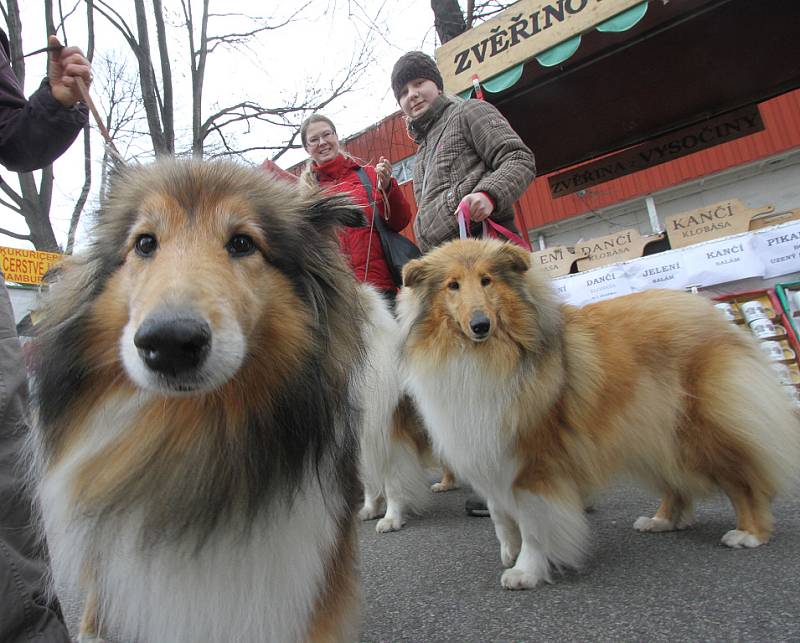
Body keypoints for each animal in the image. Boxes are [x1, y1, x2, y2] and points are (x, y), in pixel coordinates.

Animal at [400, 239, 800, 592]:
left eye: (487, 280)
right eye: (452, 285)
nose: (480, 325)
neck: (482, 355)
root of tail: (705, 309)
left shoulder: (534, 461)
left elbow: (533, 523)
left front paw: (526, 571)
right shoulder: (485, 448)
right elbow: (500, 514)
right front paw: (509, 551)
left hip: (699, 430)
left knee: (742, 480)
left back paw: (749, 533)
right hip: (651, 433)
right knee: (678, 482)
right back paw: (661, 521)